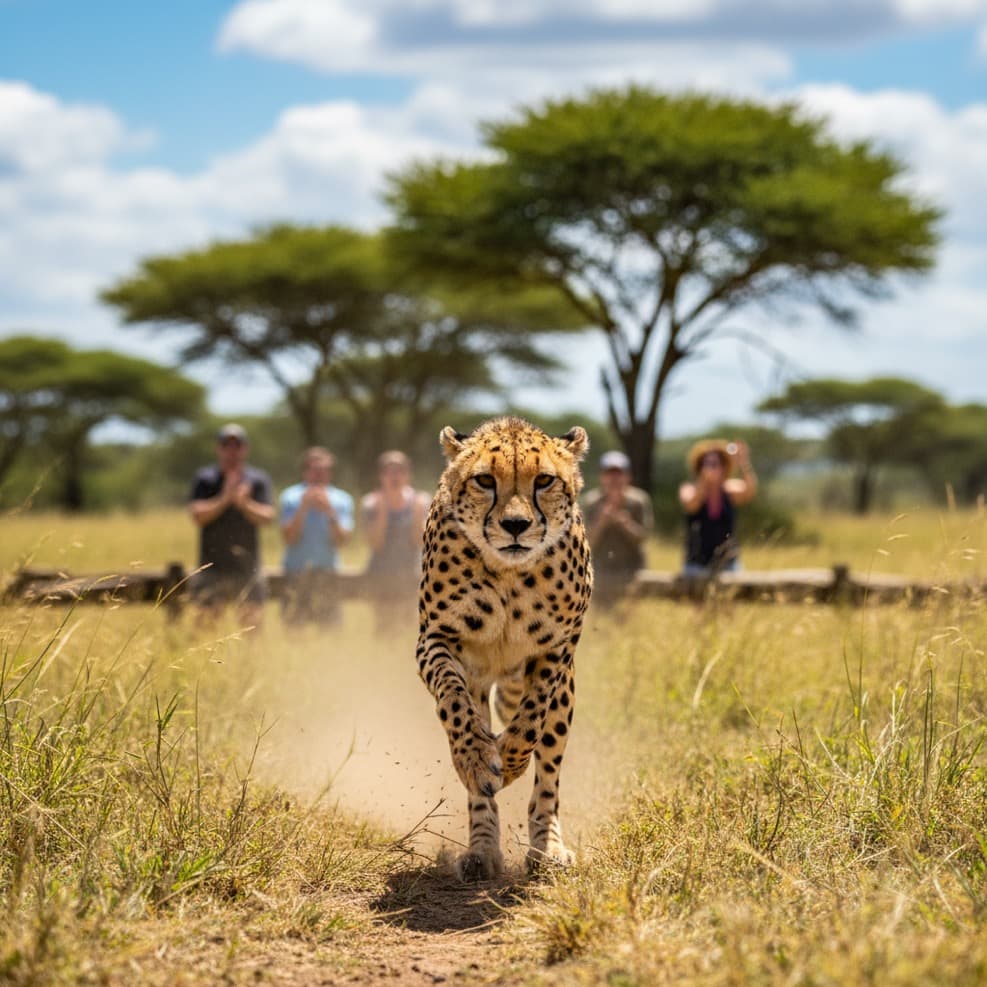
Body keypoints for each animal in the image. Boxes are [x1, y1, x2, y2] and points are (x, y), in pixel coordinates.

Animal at [415, 416, 593, 881]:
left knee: (548, 772)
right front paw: (478, 760)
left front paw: (511, 760)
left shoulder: (557, 648)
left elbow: (531, 719)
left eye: (544, 480)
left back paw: (547, 847)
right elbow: (455, 705)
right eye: (484, 480)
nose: (515, 525)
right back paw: (482, 849)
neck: (510, 572)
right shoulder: (435, 639)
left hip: (563, 694)